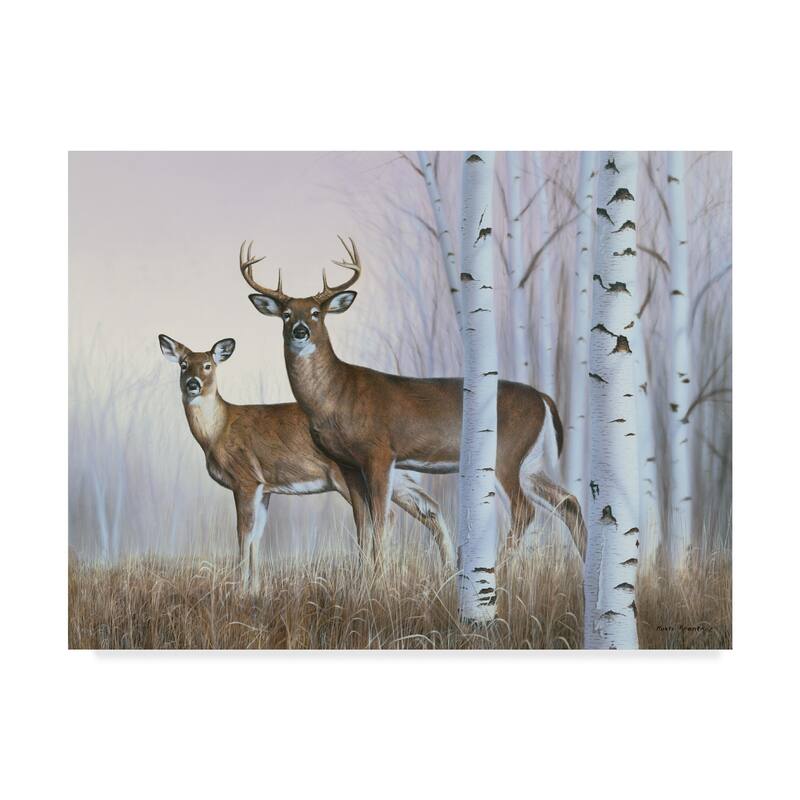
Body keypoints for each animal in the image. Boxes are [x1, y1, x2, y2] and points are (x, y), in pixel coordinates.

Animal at [158, 333, 453, 591]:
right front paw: (254, 590)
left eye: (208, 365)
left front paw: (239, 590)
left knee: (386, 515)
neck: (217, 431)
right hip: (399, 473)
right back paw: (448, 573)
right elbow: (256, 538)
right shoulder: (265, 487)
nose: (193, 383)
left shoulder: (245, 479)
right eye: (183, 364)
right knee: (429, 507)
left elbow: (243, 535)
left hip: (349, 475)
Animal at [238, 238, 588, 566]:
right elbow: (362, 526)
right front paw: (365, 576)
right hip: (531, 463)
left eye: (316, 313)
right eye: (286, 315)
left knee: (525, 510)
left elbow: (380, 520)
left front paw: (379, 577)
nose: (300, 331)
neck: (337, 395)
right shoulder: (347, 463)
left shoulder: (380, 451)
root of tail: (544, 398)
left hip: (506, 453)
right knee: (568, 501)